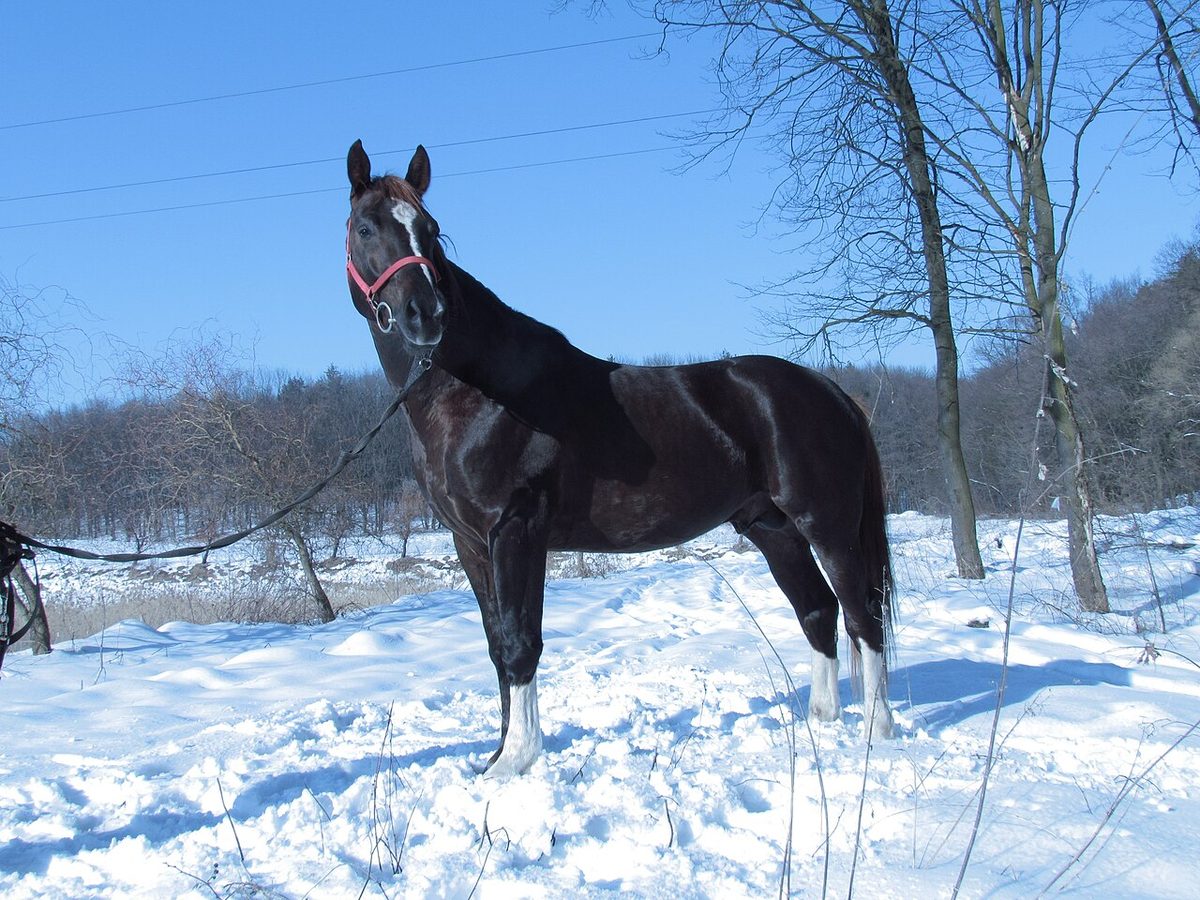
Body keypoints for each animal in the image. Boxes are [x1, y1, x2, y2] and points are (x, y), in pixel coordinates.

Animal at [344, 141, 895, 777]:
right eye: (365, 228)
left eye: (431, 231)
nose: (425, 315)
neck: (478, 394)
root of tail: (832, 393)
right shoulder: (470, 543)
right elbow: (495, 644)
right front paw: (498, 755)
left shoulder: (517, 531)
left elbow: (521, 642)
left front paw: (518, 760)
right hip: (772, 528)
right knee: (818, 610)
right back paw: (821, 722)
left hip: (827, 526)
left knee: (862, 615)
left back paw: (877, 733)